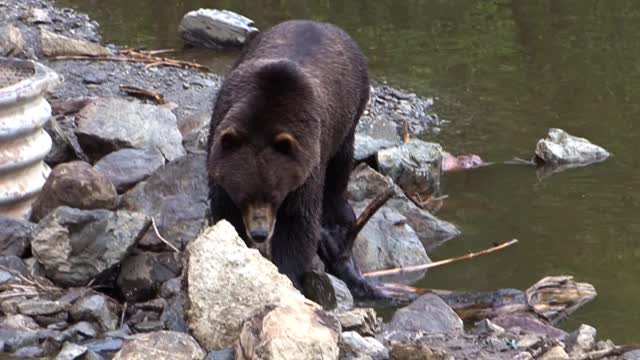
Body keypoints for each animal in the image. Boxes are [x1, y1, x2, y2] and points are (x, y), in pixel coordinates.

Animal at [208, 20, 382, 298]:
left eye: (274, 196)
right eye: (244, 195)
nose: (259, 233)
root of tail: (322, 24)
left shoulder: (308, 162)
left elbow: (298, 223)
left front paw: (287, 274)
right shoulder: (220, 138)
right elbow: (225, 211)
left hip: (350, 111)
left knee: (341, 163)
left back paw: (339, 213)